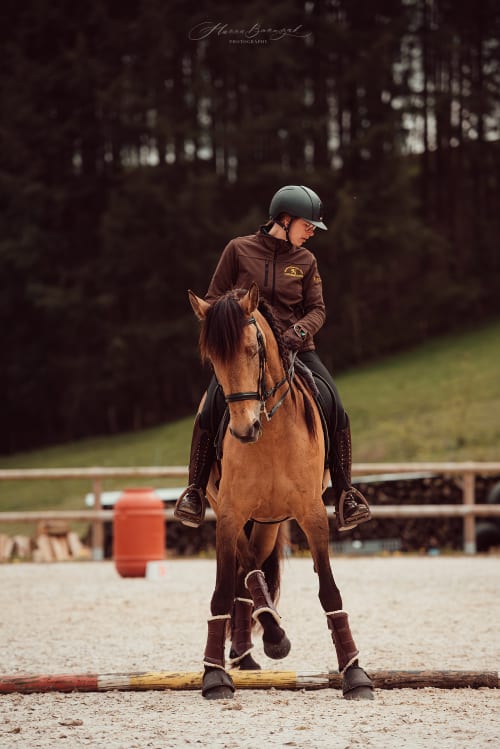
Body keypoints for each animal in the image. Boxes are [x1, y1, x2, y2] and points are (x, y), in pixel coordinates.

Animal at [188, 282, 373, 701]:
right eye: (213, 359)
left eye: (253, 350)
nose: (244, 429)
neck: (270, 435)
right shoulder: (228, 514)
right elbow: (223, 589)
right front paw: (214, 675)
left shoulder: (312, 514)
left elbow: (329, 591)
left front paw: (354, 673)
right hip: (237, 511)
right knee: (247, 571)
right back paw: (257, 643)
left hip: (270, 520)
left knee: (251, 568)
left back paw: (252, 649)